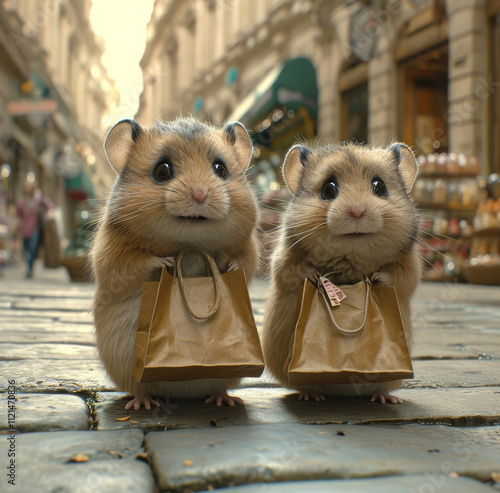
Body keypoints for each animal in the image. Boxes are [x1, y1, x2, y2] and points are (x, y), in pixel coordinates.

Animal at [91, 115, 260, 408]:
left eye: (220, 169)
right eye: (162, 171)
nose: (200, 195)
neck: (189, 245)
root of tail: (184, 393)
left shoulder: (250, 249)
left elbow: (245, 262)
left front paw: (230, 267)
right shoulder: (111, 260)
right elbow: (137, 265)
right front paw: (166, 261)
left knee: (219, 386)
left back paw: (225, 400)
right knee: (142, 387)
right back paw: (142, 405)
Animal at [262, 141, 422, 404]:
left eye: (380, 186)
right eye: (328, 189)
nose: (357, 212)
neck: (350, 256)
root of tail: (342, 391)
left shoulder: (410, 267)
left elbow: (397, 277)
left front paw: (375, 278)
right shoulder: (283, 261)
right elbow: (295, 271)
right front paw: (314, 275)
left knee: (381, 388)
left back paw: (387, 398)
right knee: (305, 386)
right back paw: (311, 396)